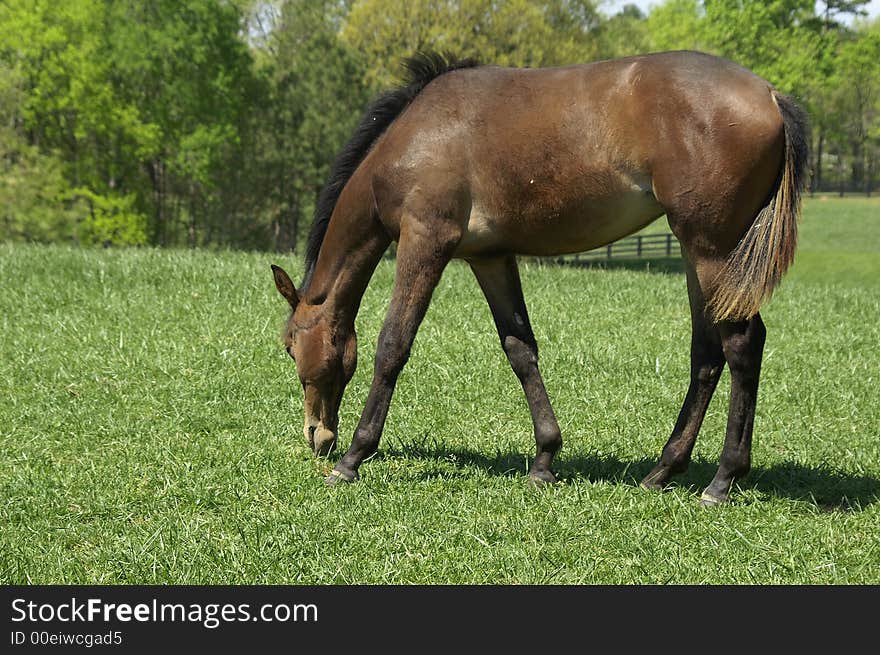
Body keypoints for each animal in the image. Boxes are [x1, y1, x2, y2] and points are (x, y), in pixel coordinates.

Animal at [272, 50, 808, 508]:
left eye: (291, 347)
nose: (316, 436)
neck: (417, 134)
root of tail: (769, 95)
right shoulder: (490, 258)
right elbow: (520, 349)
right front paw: (545, 459)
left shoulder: (425, 242)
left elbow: (393, 345)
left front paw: (352, 458)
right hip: (700, 258)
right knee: (706, 354)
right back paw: (662, 470)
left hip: (711, 250)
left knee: (741, 344)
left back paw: (722, 480)